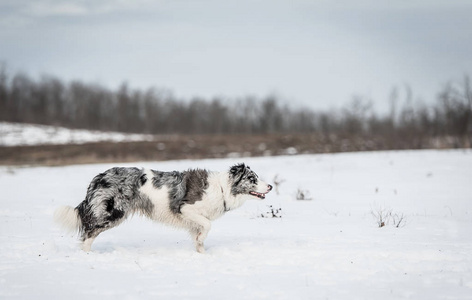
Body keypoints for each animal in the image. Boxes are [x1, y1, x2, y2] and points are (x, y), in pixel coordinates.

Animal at [53, 163, 272, 252]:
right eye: (252, 179)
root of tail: (98, 177)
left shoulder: (193, 221)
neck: (222, 188)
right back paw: (88, 255)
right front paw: (202, 240)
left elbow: (199, 239)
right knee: (88, 233)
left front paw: (202, 254)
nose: (270, 186)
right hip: (113, 212)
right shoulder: (185, 209)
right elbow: (207, 225)